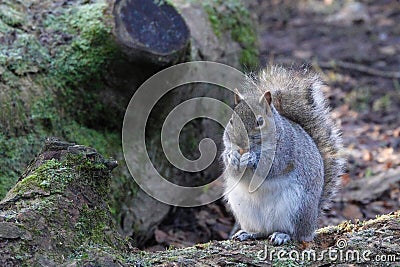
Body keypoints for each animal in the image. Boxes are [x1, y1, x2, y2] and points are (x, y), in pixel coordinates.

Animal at [222, 66, 344, 246]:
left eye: (259, 121)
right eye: (231, 120)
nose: (240, 143)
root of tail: (312, 221)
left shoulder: (286, 151)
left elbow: (273, 166)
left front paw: (252, 159)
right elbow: (231, 169)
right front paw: (232, 157)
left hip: (297, 208)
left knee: (295, 234)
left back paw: (282, 235)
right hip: (244, 210)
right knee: (261, 231)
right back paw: (249, 233)